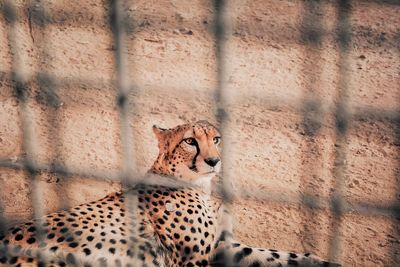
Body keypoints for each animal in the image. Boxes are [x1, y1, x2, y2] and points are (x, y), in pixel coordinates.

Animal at [0, 122, 340, 267]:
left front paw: (322, 261)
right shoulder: (191, 259)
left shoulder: (220, 246)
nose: (214, 161)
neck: (199, 185)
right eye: (190, 141)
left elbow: (276, 255)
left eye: (217, 139)